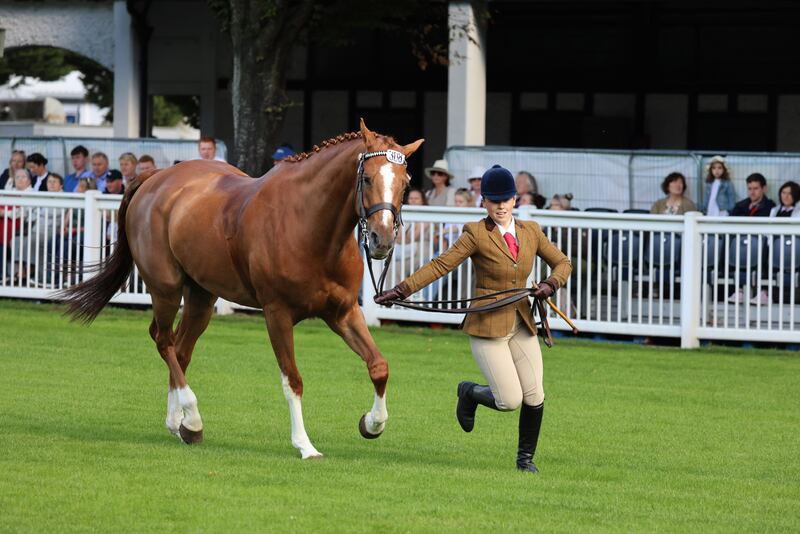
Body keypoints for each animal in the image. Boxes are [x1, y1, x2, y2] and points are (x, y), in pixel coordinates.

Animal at [59, 119, 424, 459]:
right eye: (367, 179)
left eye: (405, 183)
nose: (381, 239)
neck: (308, 225)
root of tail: (157, 177)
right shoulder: (277, 315)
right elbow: (293, 380)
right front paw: (304, 445)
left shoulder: (343, 312)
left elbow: (378, 366)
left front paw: (372, 424)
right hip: (166, 289)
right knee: (164, 341)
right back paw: (192, 420)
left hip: (201, 296)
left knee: (180, 349)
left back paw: (178, 423)